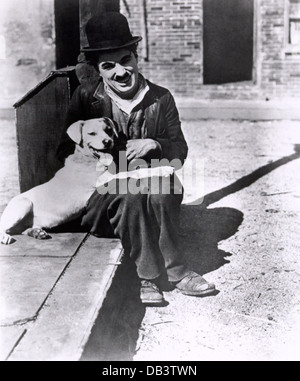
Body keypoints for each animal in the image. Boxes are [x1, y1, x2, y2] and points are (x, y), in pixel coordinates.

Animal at [0, 117, 173, 245]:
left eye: (108, 130)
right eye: (91, 133)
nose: (107, 142)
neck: (88, 159)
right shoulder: (106, 180)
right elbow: (133, 172)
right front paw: (163, 169)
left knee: (24, 229)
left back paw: (37, 232)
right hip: (23, 204)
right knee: (5, 227)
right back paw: (5, 236)